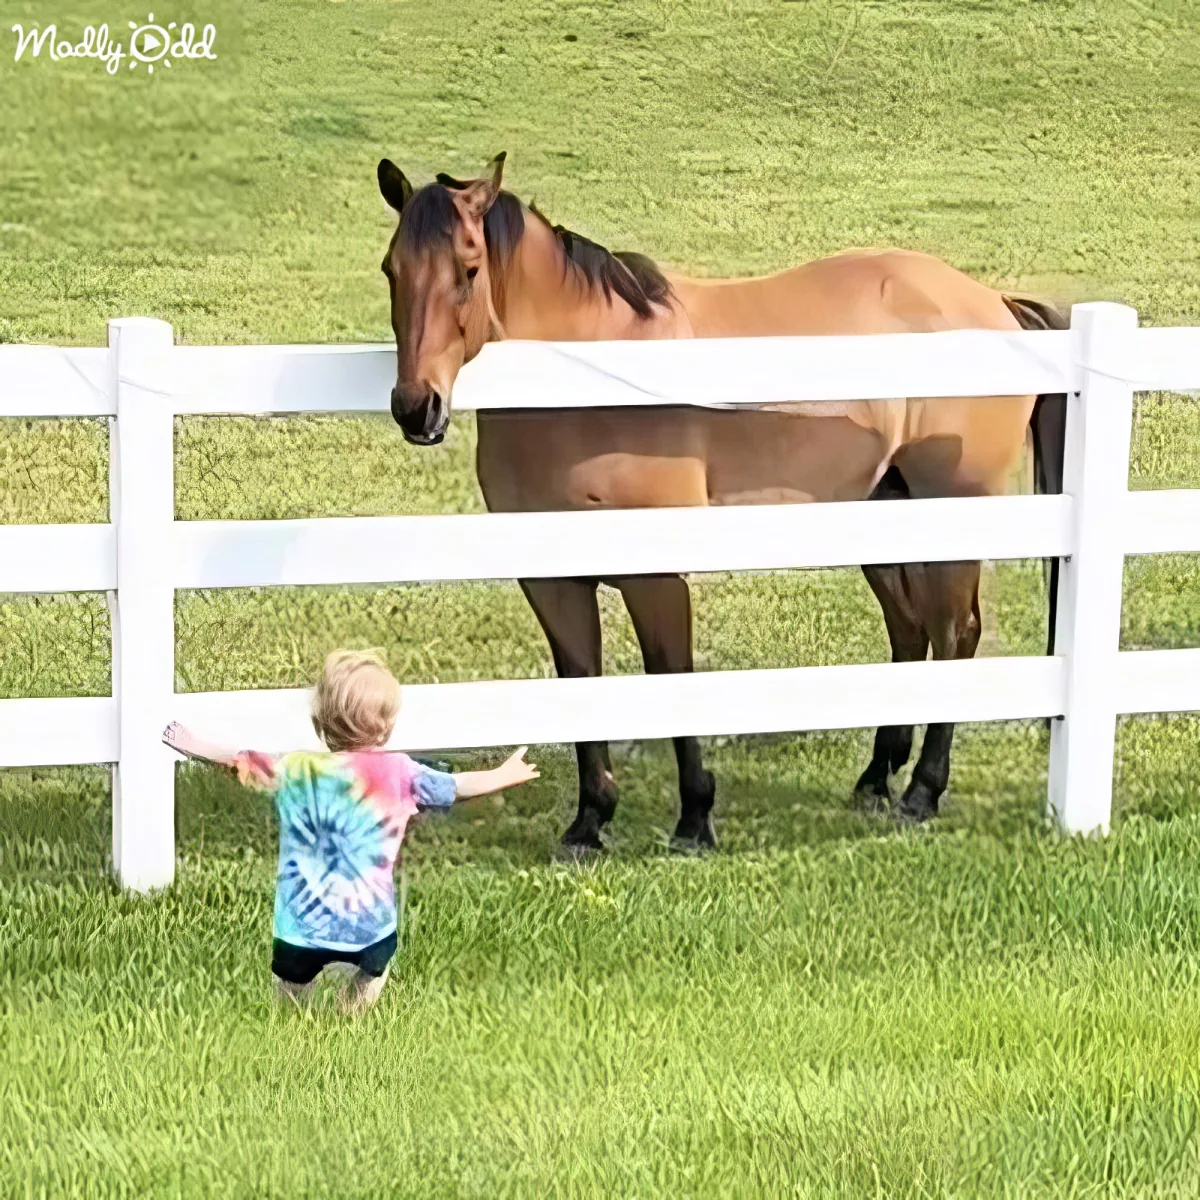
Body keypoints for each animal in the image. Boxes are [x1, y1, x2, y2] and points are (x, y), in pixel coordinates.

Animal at [375, 152, 1067, 853]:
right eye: (391, 270)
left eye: (468, 269)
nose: (416, 408)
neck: (588, 386)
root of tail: (994, 302)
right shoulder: (553, 579)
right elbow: (581, 681)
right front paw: (589, 822)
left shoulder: (655, 575)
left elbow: (672, 679)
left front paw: (694, 819)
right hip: (884, 511)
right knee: (911, 630)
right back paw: (877, 777)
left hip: (950, 510)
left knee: (954, 633)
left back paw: (922, 793)